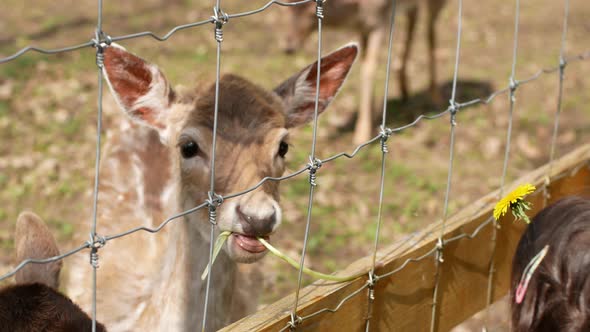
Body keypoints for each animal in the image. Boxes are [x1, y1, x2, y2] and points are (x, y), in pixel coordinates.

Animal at [282, 0, 448, 144]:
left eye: (310, 11)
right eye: (287, 8)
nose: (289, 47)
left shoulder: (380, 22)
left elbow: (370, 69)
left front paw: (362, 135)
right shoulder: (363, 27)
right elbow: (363, 65)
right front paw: (373, 119)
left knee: (430, 31)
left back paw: (436, 98)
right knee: (415, 17)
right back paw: (404, 90)